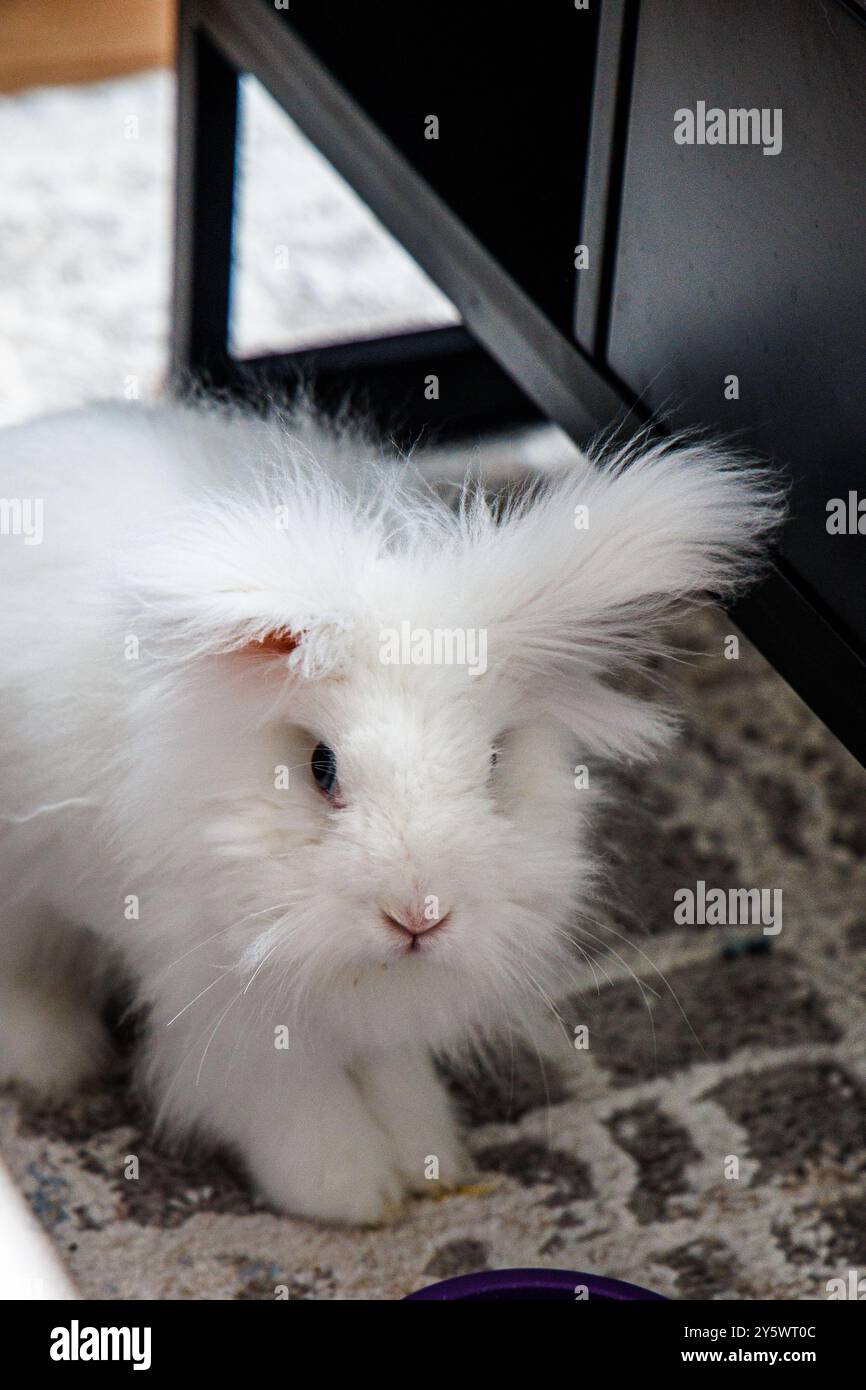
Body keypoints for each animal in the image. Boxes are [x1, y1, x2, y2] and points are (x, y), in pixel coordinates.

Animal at [0, 396, 783, 1224]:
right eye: (322, 767)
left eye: (494, 762)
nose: (418, 917)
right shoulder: (223, 1002)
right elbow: (284, 1098)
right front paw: (353, 1193)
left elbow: (392, 1074)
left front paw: (426, 1158)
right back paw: (52, 1058)